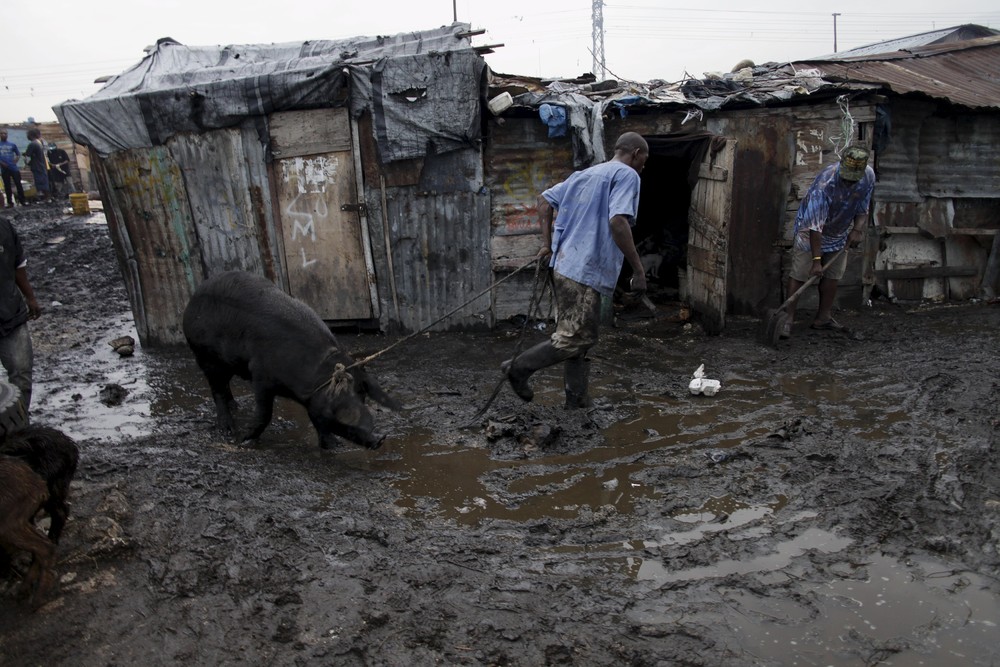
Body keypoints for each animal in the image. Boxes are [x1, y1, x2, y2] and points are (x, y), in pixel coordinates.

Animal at [182, 270, 400, 448]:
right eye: (342, 413)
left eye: (362, 397)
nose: (381, 439)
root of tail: (191, 302)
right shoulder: (260, 375)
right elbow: (264, 414)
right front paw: (244, 440)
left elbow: (316, 418)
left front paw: (332, 446)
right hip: (204, 355)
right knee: (216, 389)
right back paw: (227, 429)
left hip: (227, 363)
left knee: (225, 384)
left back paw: (236, 406)